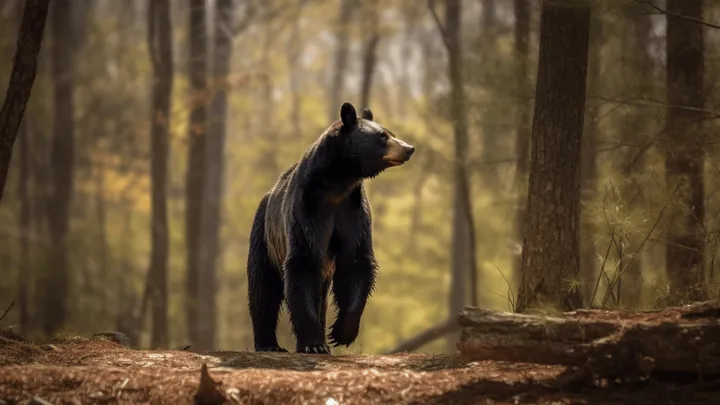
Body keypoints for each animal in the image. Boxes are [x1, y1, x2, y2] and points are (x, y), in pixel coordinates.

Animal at [246, 102, 415, 354]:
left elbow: (356, 264)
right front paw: (314, 343)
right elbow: (302, 266)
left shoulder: (353, 213)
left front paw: (339, 333)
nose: (409, 148)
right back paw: (268, 344)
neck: (337, 184)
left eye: (390, 132)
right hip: (264, 236)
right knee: (263, 287)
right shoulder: (307, 213)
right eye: (383, 136)